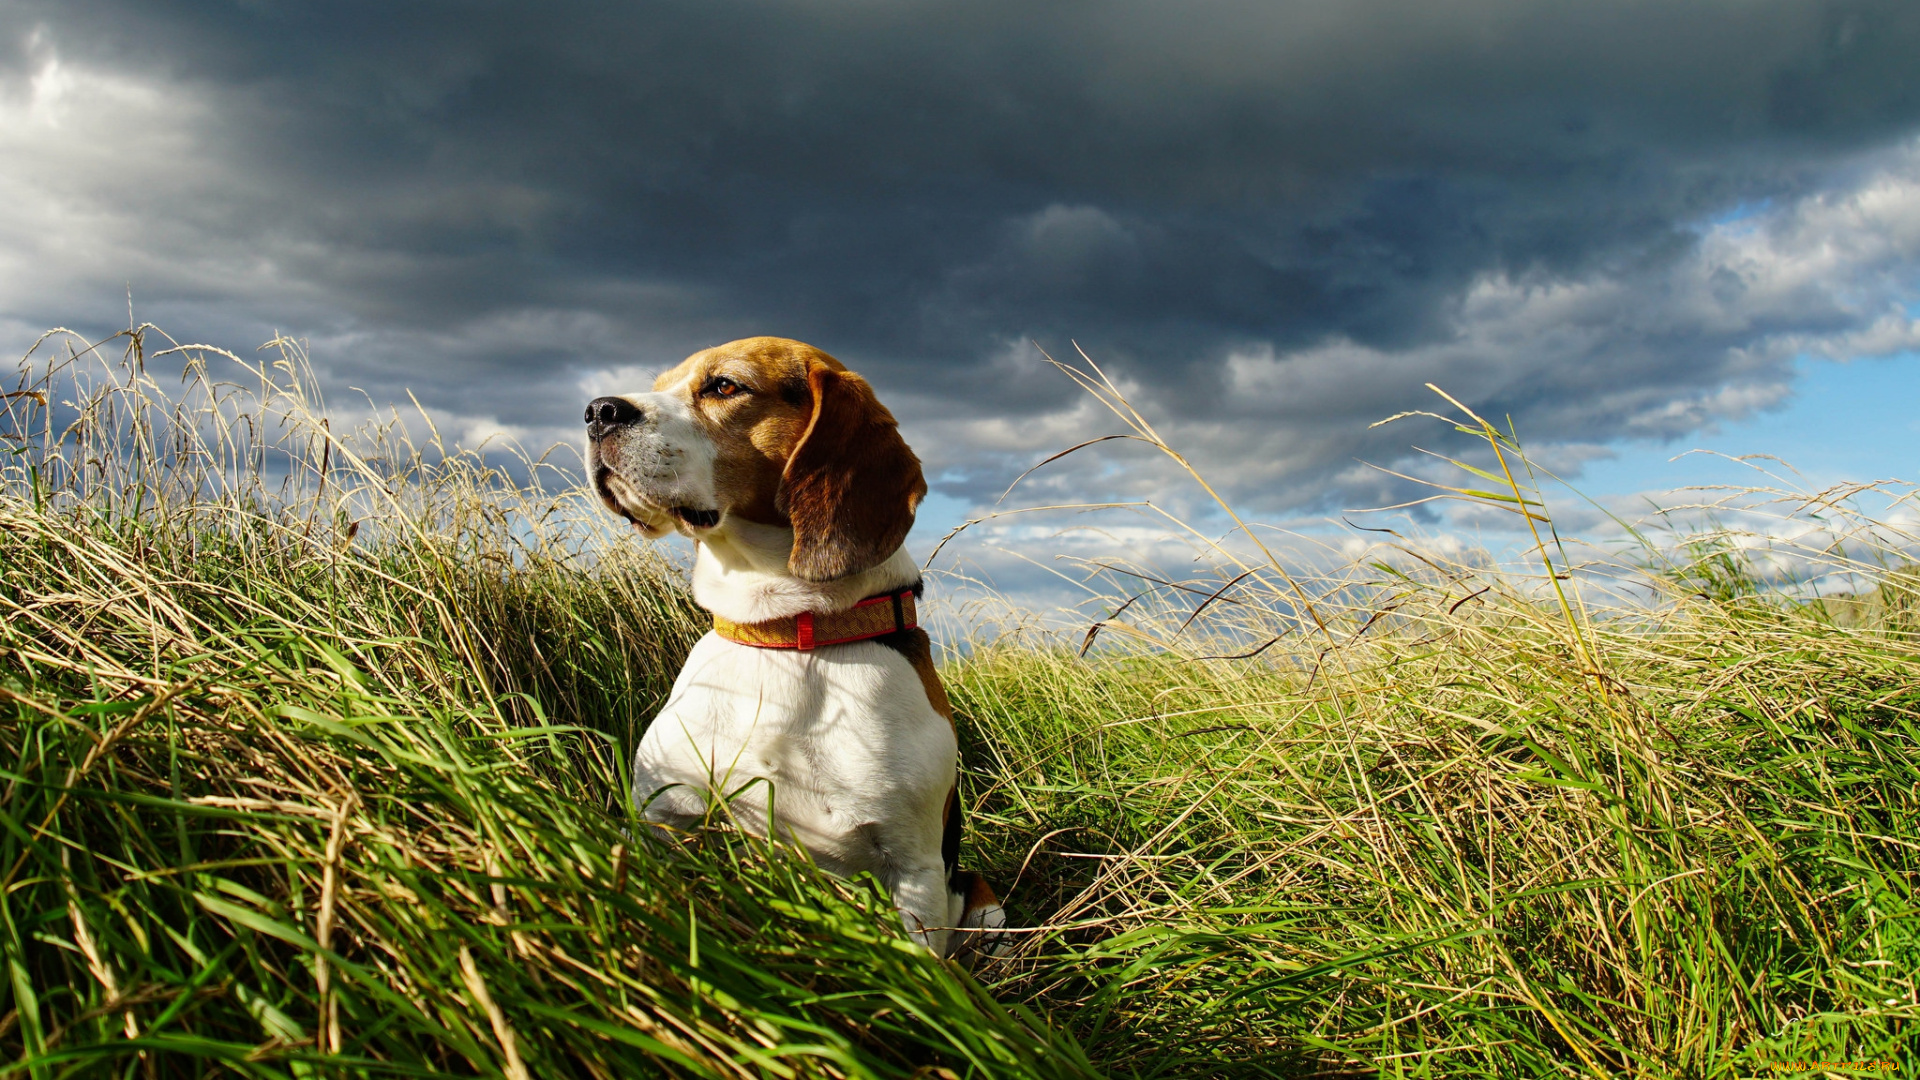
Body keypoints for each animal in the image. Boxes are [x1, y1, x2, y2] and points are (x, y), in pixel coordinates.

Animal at [579, 332, 1006, 953]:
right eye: (659, 386)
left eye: (724, 386)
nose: (597, 411)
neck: (783, 634)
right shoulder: (663, 816)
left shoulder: (916, 870)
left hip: (980, 897)